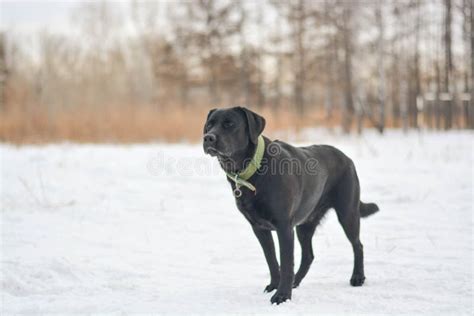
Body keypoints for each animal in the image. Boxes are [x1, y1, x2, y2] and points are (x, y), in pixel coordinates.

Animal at [203, 106, 378, 304]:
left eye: (229, 124)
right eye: (209, 125)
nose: (208, 137)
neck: (254, 169)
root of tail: (347, 158)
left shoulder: (284, 226)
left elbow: (286, 261)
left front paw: (282, 296)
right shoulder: (259, 228)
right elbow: (271, 259)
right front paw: (274, 286)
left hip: (348, 212)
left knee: (358, 245)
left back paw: (357, 277)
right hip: (305, 223)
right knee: (309, 255)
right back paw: (296, 280)